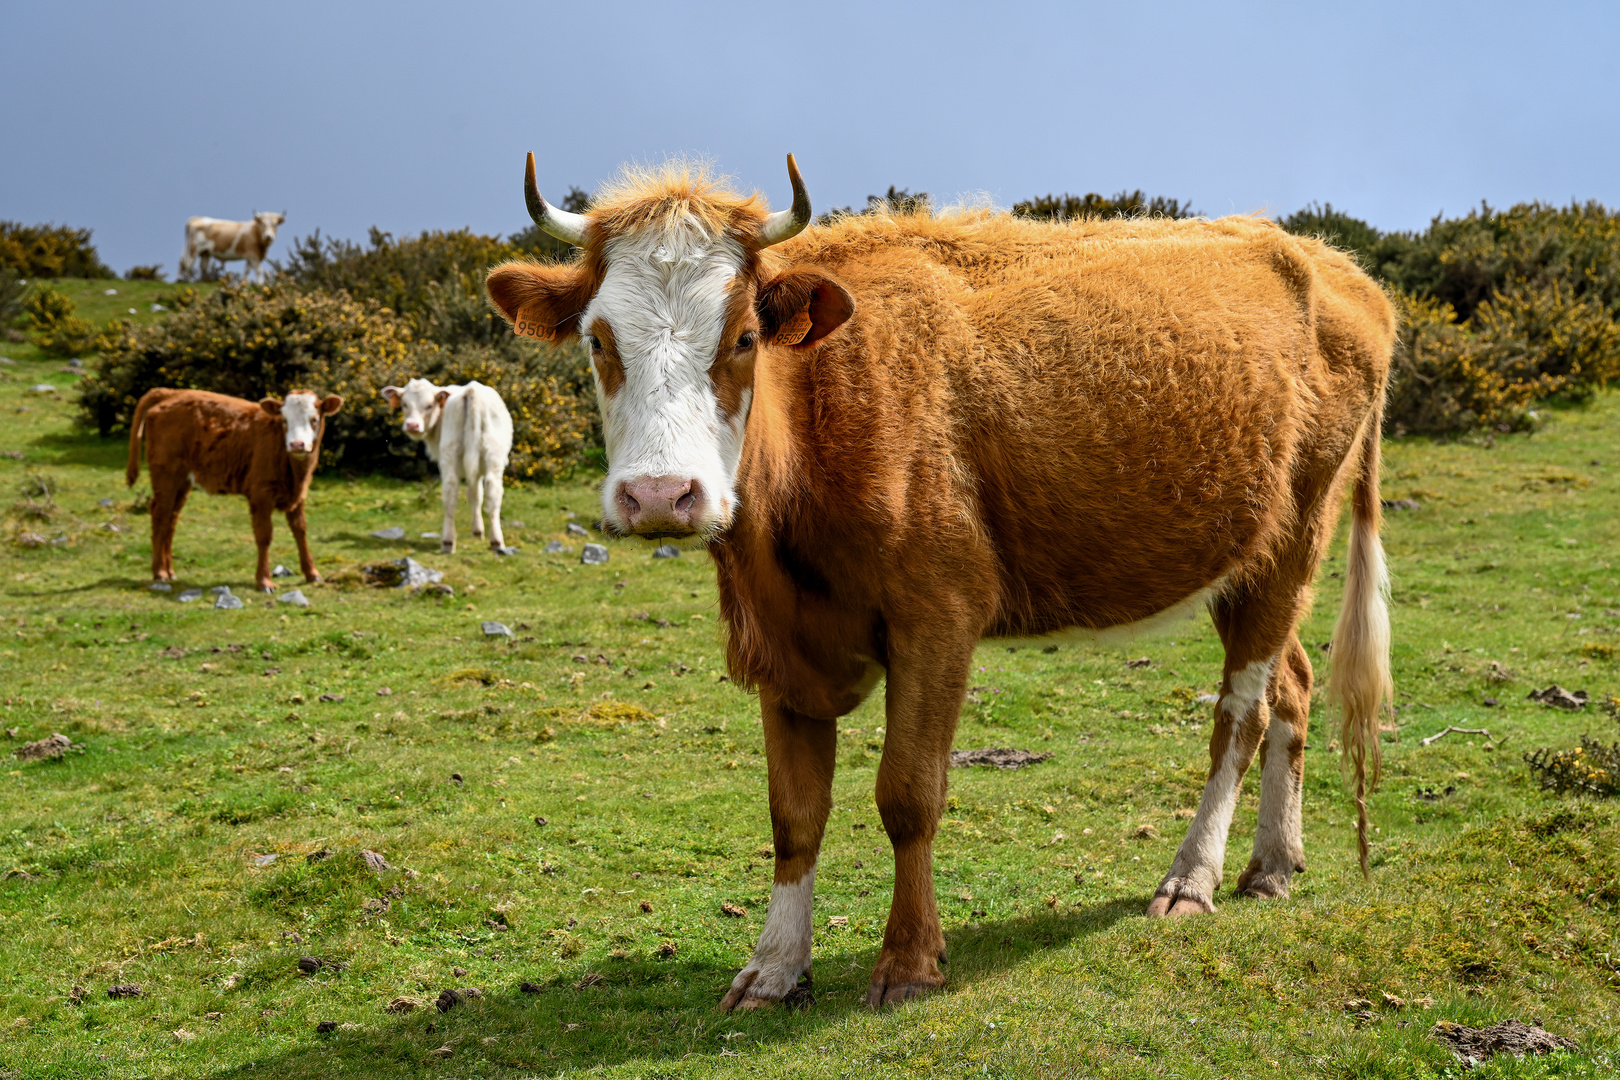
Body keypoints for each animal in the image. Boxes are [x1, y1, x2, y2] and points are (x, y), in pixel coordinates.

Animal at [125, 388, 341, 592]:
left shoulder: (298, 495)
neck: (295, 472)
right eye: (284, 420)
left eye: (314, 419)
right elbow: (264, 536)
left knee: (171, 518)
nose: (297, 444)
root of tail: (172, 393)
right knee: (160, 514)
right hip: (165, 473)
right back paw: (159, 572)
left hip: (182, 480)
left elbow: (300, 530)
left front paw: (312, 573)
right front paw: (264, 581)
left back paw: (169, 571)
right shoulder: (260, 494)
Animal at [380, 378, 511, 553]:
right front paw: (478, 531)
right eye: (404, 404)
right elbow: (476, 495)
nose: (412, 425)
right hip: (482, 455)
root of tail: (471, 390)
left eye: (429, 405)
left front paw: (477, 531)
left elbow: (475, 495)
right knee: (483, 491)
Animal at [486, 153, 1399, 1016]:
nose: (660, 496)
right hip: (1244, 563)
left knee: (1241, 715)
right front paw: (776, 967)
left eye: (743, 337)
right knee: (1293, 684)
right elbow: (794, 814)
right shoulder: (782, 642)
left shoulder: (938, 617)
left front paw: (909, 962)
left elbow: (908, 793)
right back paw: (1273, 863)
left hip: (1297, 531)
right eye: (598, 341)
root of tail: (1335, 265)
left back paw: (1192, 877)